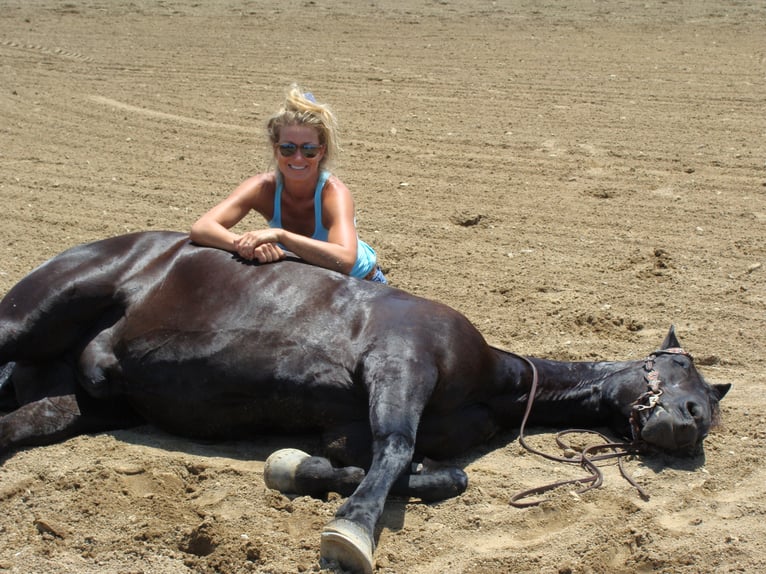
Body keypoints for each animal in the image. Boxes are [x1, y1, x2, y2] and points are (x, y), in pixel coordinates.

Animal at [0, 233, 732, 574]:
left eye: (708, 401)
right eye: (680, 364)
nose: (689, 424)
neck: (494, 378)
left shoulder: (350, 431)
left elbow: (426, 472)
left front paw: (296, 471)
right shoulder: (400, 365)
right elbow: (398, 451)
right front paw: (349, 529)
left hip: (71, 402)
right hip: (30, 319)